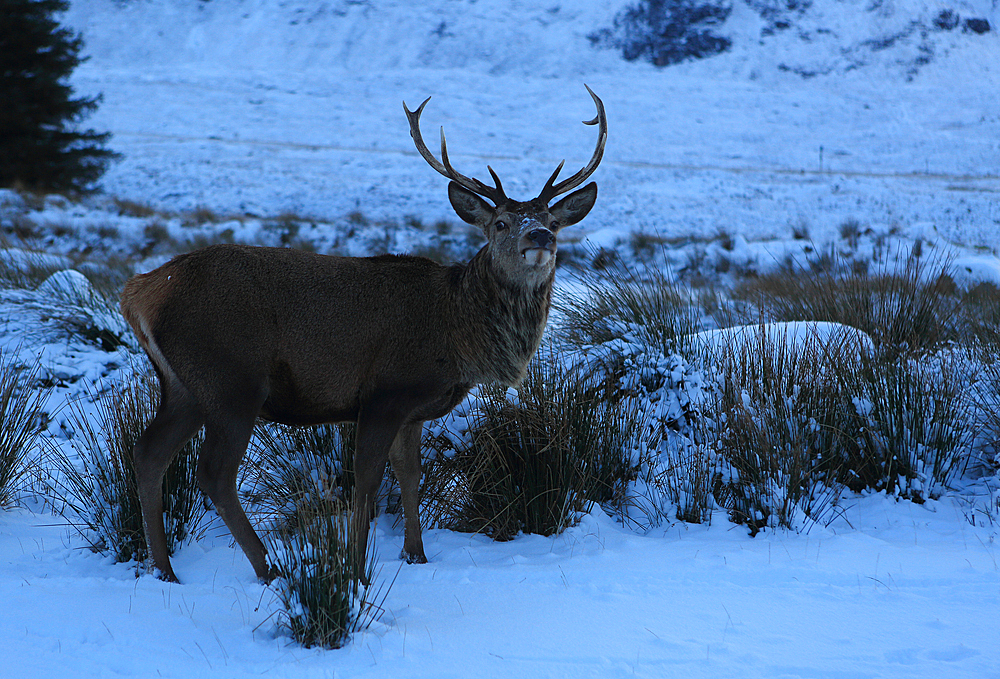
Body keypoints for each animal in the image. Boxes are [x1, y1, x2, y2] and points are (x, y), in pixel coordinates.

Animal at [115, 85, 600, 584]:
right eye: (500, 223)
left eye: (553, 221)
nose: (539, 237)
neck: (456, 332)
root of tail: (138, 292)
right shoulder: (383, 392)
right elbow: (365, 482)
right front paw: (354, 570)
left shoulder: (413, 410)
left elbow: (410, 476)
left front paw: (416, 556)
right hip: (231, 378)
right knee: (213, 473)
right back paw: (269, 569)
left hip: (184, 386)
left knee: (148, 453)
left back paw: (165, 571)